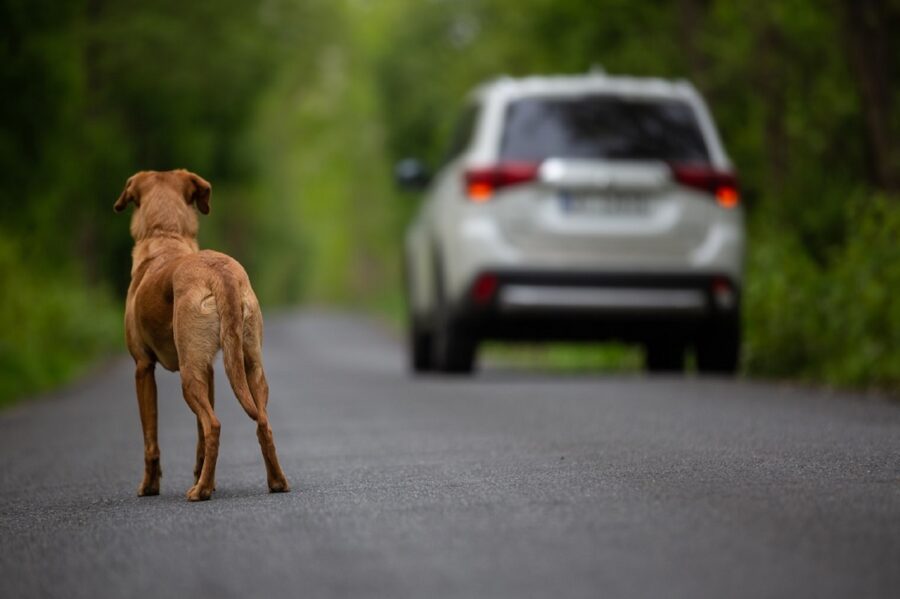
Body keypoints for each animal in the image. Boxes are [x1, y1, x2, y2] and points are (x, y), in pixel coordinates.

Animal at [113, 170, 288, 502]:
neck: (166, 235)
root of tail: (220, 272)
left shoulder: (143, 368)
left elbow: (151, 440)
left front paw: (149, 487)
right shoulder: (210, 370)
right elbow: (197, 441)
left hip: (189, 374)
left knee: (213, 425)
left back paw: (201, 491)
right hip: (250, 366)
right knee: (263, 423)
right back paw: (275, 481)